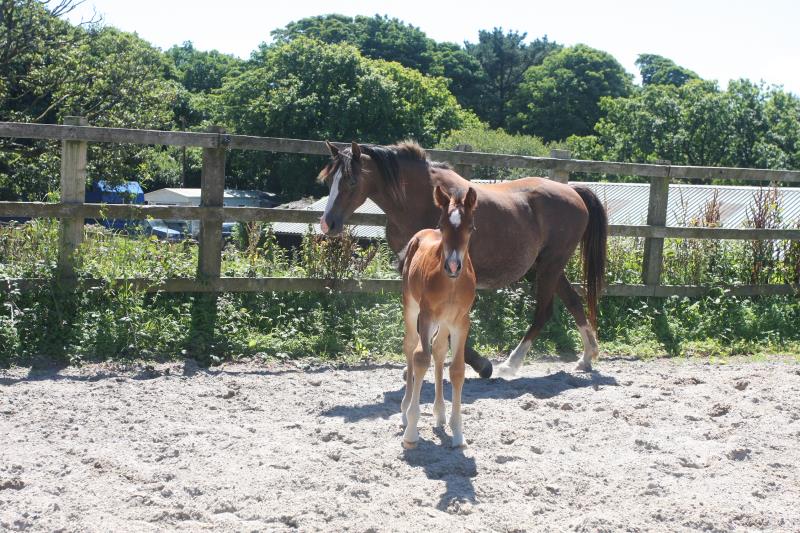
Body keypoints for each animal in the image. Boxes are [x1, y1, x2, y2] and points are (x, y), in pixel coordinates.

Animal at [398, 185, 476, 446]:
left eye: (470, 227)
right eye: (442, 225)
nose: (453, 266)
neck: (451, 283)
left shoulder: (461, 321)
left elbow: (457, 369)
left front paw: (458, 432)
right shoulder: (427, 315)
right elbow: (421, 358)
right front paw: (411, 432)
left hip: (444, 322)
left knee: (440, 350)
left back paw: (440, 413)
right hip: (411, 307)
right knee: (411, 346)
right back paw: (404, 411)